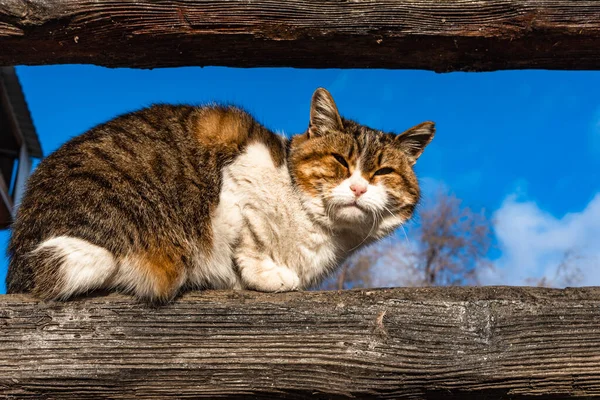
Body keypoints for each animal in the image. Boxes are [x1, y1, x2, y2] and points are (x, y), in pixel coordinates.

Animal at [5, 86, 436, 300]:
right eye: (340, 161)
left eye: (382, 172)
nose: (359, 186)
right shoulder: (238, 173)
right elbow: (246, 235)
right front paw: (265, 273)